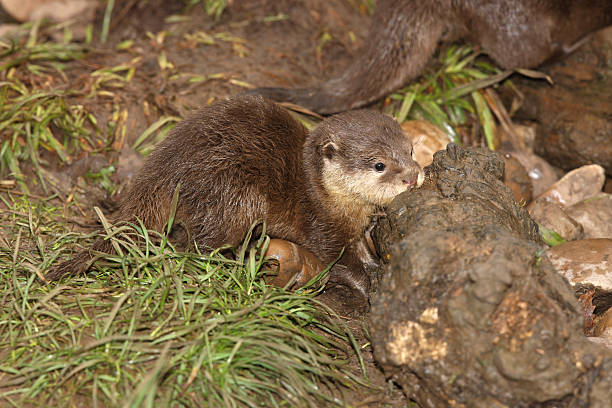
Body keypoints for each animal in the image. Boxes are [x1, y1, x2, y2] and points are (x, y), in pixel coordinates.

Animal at [45, 96, 424, 300]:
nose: (412, 176)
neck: (323, 192)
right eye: (379, 165)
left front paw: (375, 263)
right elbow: (340, 261)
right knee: (193, 245)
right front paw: (369, 286)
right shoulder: (322, 227)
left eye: (410, 150)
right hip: (237, 197)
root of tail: (162, 170)